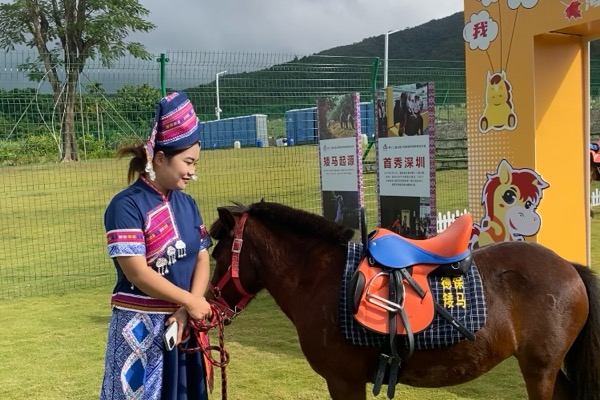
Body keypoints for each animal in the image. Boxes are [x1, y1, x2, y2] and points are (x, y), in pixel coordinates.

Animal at [207, 202, 600, 398]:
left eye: (218, 254)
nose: (211, 305)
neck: (321, 278)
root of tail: (569, 266)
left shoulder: (343, 381)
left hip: (540, 370)